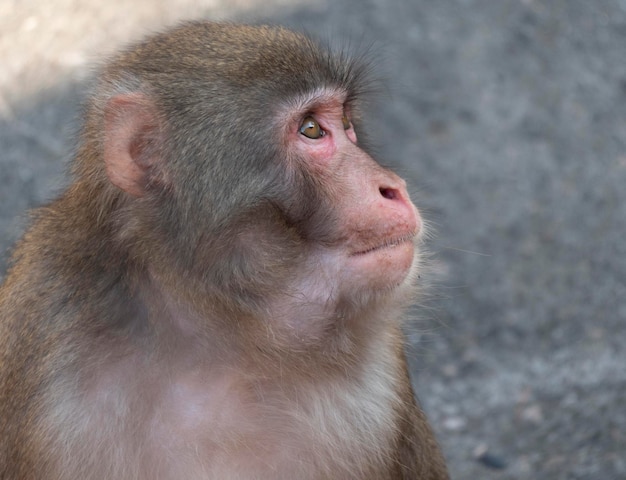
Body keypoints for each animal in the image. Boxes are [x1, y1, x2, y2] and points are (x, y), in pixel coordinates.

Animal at [0, 21, 446, 480]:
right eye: (310, 129)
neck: (219, 333)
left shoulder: (379, 395)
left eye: (344, 122)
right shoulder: (48, 353)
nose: (393, 187)